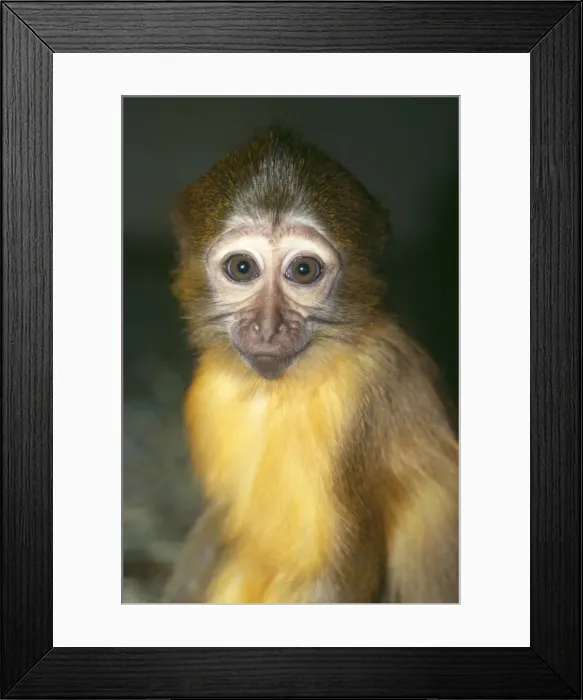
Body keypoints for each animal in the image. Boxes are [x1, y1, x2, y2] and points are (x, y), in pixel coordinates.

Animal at [162, 126, 459, 604]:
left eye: (303, 270)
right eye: (242, 267)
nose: (268, 327)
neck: (282, 388)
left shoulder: (370, 394)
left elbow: (342, 575)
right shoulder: (208, 391)